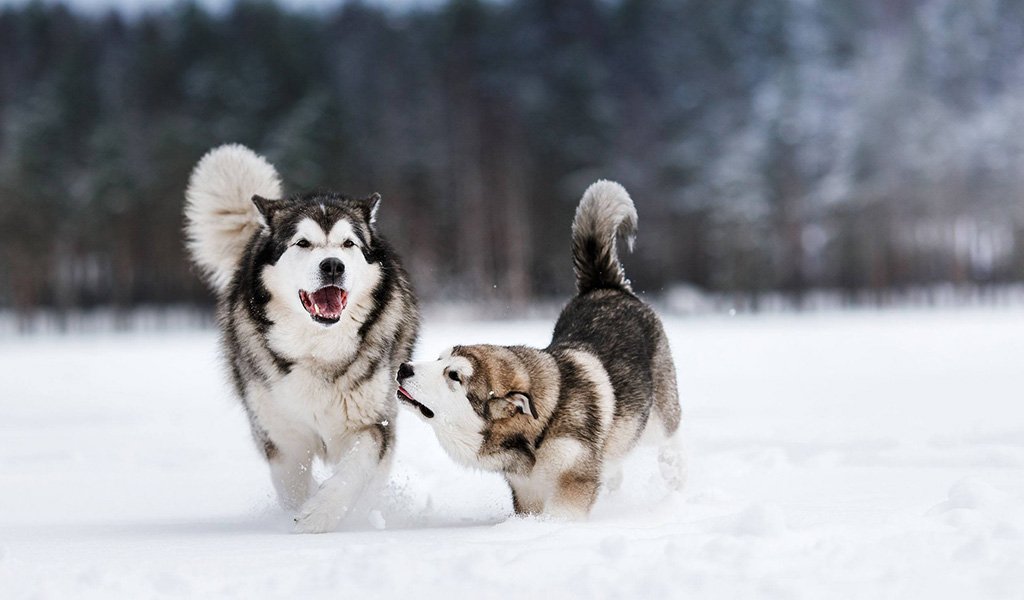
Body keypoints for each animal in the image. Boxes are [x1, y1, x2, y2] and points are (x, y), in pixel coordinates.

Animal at [185, 142, 419, 528]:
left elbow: (355, 471)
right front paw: (300, 515)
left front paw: (321, 515)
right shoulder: (282, 437)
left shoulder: (374, 422)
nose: (333, 265)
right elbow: (293, 485)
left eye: (348, 244)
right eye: (303, 243)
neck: (318, 349)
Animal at [395, 180, 684, 516]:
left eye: (454, 376)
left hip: (657, 419)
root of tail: (604, 286)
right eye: (439, 358)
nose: (403, 368)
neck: (541, 428)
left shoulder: (573, 483)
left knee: (670, 448)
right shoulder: (526, 492)